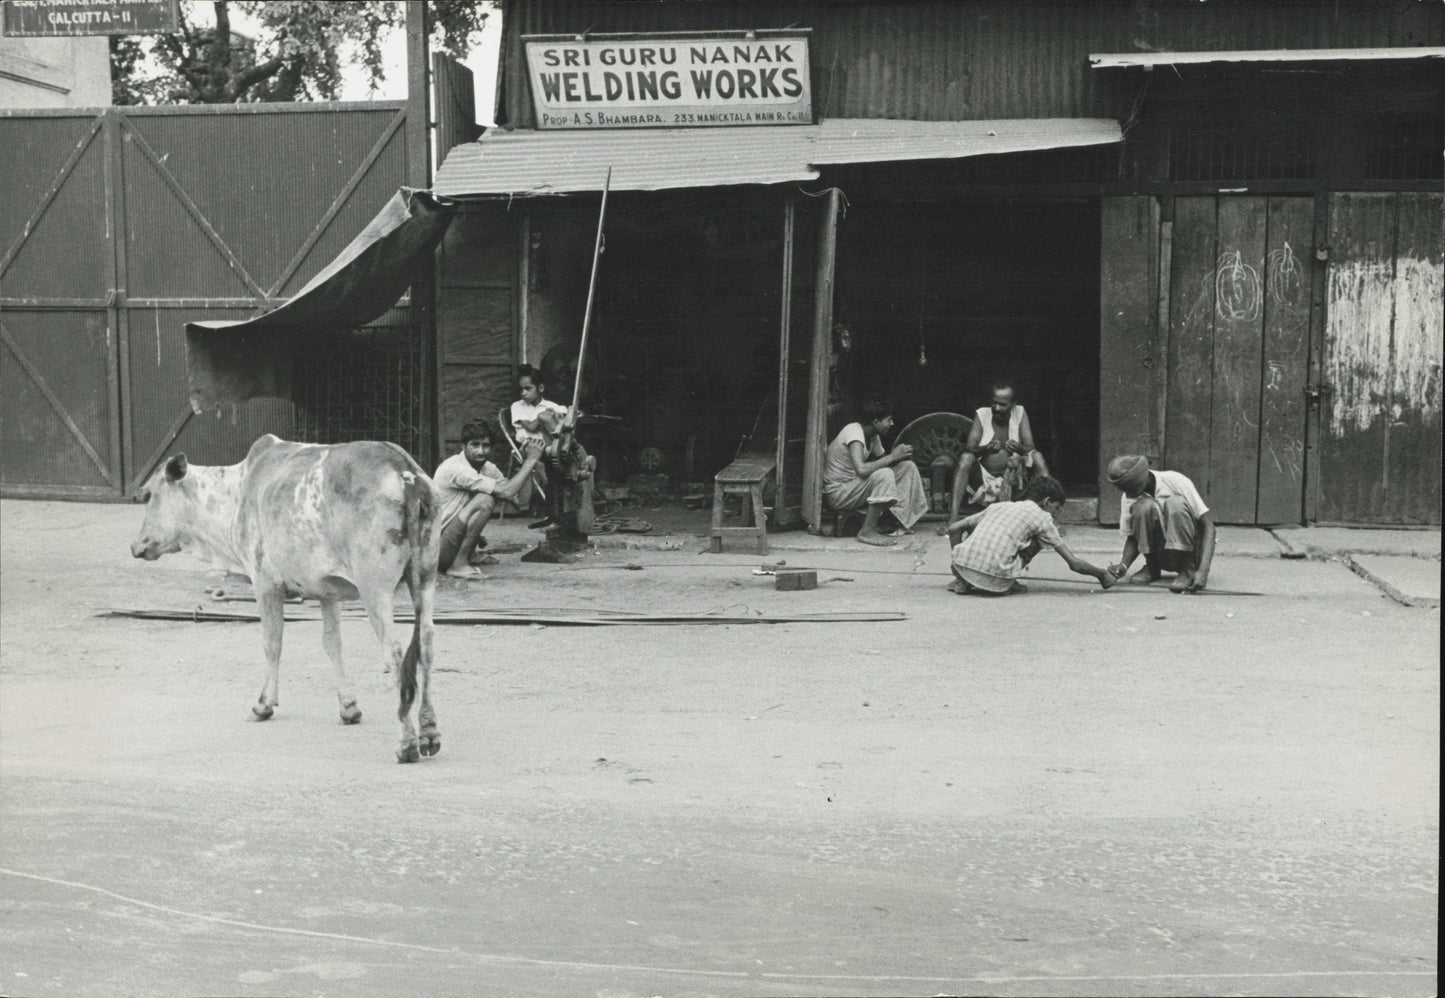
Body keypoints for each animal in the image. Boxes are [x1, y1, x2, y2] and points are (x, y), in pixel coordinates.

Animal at [135, 436, 439, 762]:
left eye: (148, 495)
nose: (136, 545)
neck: (236, 492)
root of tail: (405, 473)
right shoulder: (326, 589)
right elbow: (332, 644)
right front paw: (349, 707)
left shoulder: (264, 582)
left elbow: (272, 643)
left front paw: (263, 704)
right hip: (425, 577)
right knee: (426, 643)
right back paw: (429, 732)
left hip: (375, 587)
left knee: (393, 652)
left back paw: (407, 742)